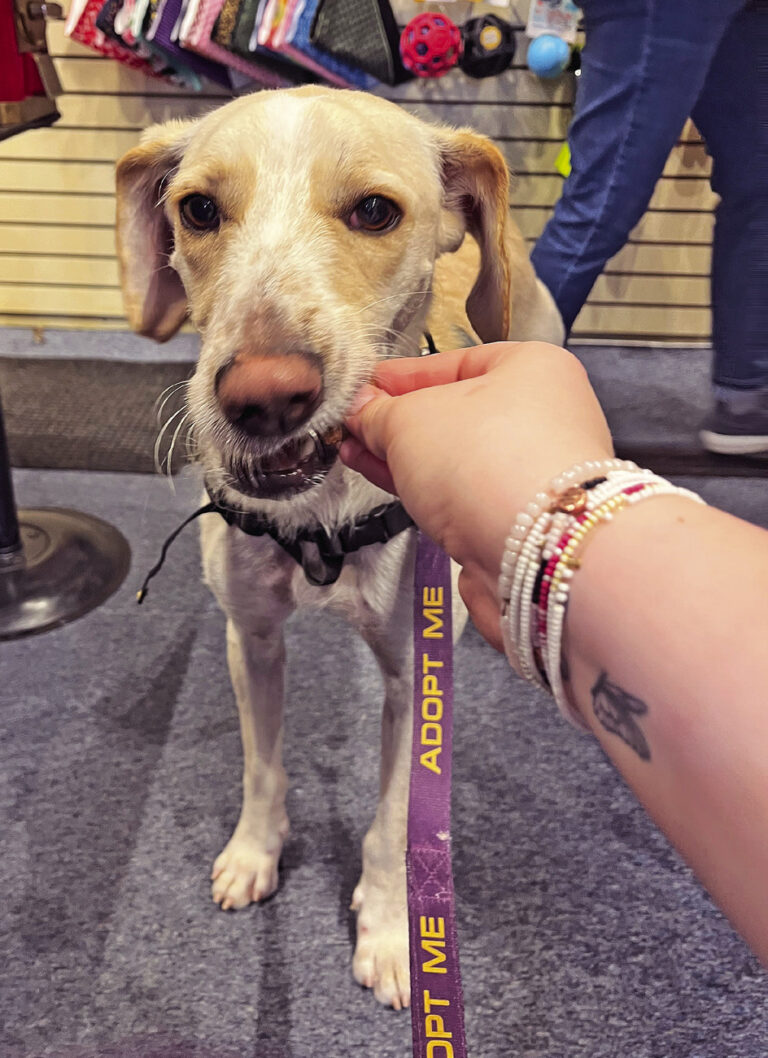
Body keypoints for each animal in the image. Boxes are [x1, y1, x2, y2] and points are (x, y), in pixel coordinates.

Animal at [115, 85, 563, 1010]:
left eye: (375, 211)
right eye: (197, 209)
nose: (262, 399)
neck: (320, 515)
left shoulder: (415, 680)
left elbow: (394, 822)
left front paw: (391, 933)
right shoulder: (250, 639)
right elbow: (262, 768)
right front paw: (255, 853)